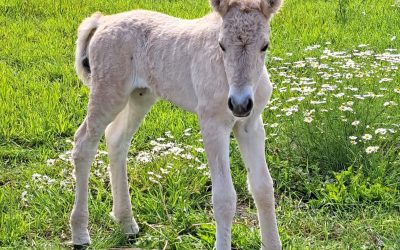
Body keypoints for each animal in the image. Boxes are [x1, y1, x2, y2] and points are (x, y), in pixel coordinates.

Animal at [70, 0, 282, 248]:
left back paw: (126, 222)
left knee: (116, 139)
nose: (239, 104)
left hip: (141, 95)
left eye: (264, 46)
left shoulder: (251, 124)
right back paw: (80, 232)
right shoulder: (212, 124)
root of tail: (102, 20)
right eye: (221, 45)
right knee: (84, 143)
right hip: (108, 92)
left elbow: (263, 187)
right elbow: (224, 197)